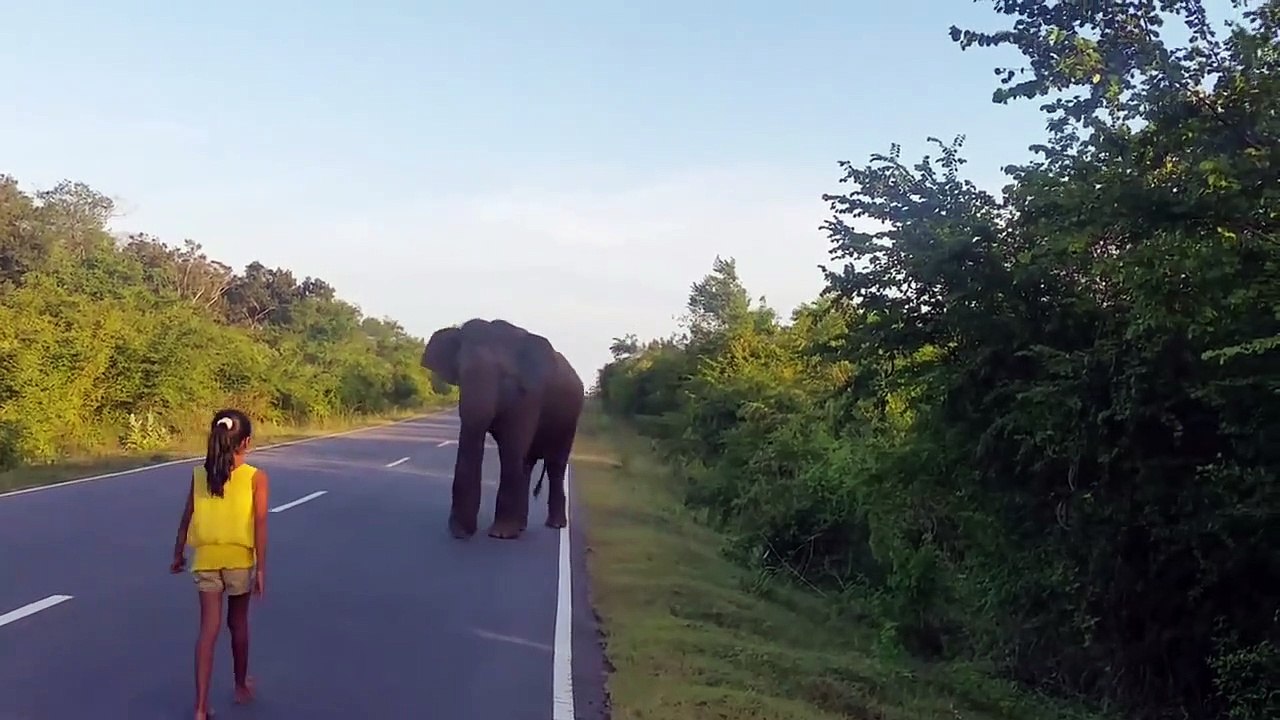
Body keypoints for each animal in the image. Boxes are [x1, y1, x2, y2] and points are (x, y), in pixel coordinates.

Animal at [421, 318, 585, 540]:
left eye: (505, 376)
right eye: (460, 371)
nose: (462, 533)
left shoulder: (531, 395)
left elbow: (511, 447)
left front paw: (500, 535)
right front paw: (462, 532)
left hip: (570, 417)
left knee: (555, 464)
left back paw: (554, 525)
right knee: (527, 463)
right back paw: (521, 526)